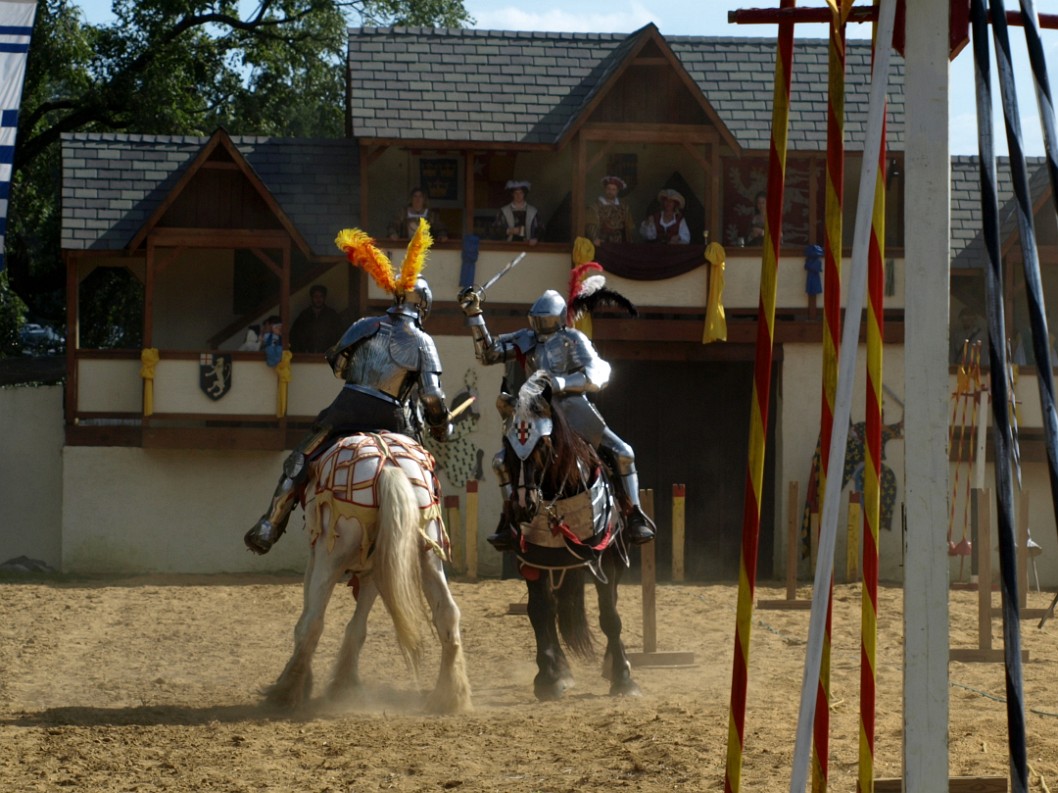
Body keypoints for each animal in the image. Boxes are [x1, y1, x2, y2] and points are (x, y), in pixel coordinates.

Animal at [264, 431, 471, 718]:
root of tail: (387, 466)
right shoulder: (375, 567)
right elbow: (357, 627)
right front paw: (345, 684)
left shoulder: (317, 558)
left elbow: (311, 618)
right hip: (428, 555)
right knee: (447, 614)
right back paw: (449, 696)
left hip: (331, 557)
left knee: (313, 622)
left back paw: (286, 692)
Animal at [499, 372, 639, 702]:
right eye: (507, 445)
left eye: (543, 443)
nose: (522, 506)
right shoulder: (532, 562)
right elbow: (539, 612)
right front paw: (550, 677)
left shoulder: (606, 558)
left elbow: (610, 615)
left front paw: (623, 677)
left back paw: (614, 662)